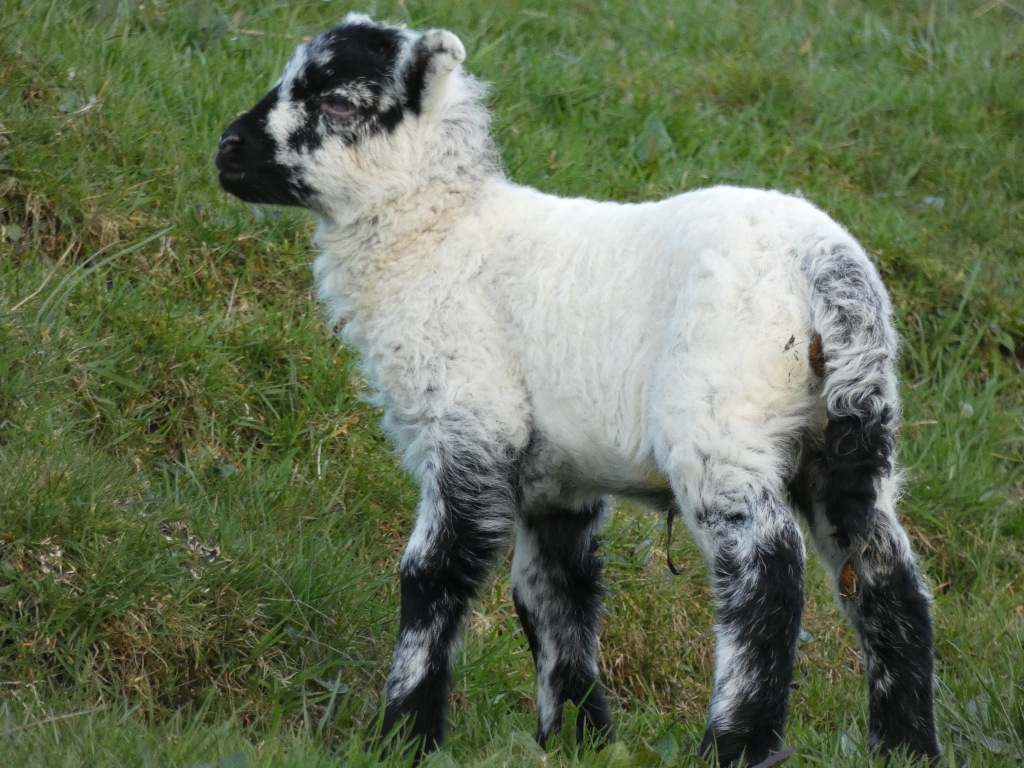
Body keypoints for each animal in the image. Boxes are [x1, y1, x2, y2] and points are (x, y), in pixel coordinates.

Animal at [215, 14, 940, 766]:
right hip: (851, 435)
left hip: (721, 422)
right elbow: (552, 596)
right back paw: (906, 746)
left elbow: (432, 575)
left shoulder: (470, 421)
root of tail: (827, 274)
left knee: (768, 579)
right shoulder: (557, 478)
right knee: (887, 580)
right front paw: (576, 736)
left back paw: (733, 743)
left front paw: (404, 733)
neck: (437, 234)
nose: (226, 150)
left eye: (339, 104)